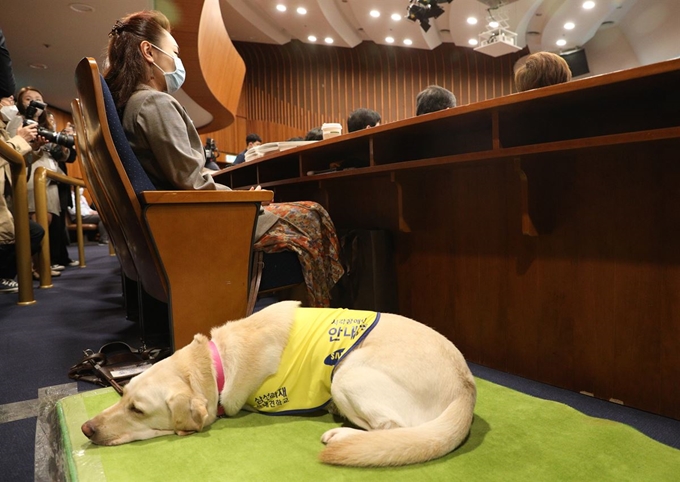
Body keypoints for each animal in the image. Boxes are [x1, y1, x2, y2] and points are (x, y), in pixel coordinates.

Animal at [82, 302, 476, 466]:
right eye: (123, 394)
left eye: (137, 409)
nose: (86, 428)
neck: (213, 364)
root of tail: (466, 389)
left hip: (346, 373)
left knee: (390, 429)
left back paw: (343, 434)